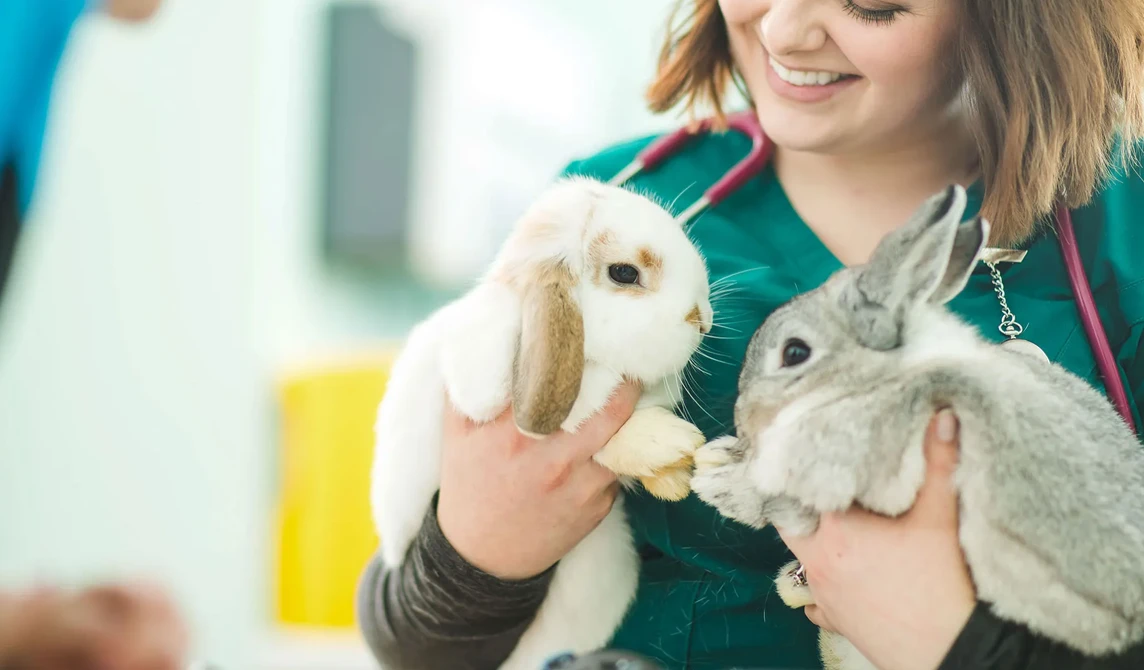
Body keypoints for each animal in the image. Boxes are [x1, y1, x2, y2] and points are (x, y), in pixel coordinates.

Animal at [369, 176, 715, 670]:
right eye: (625, 273)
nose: (703, 319)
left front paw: (671, 478)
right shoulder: (487, 385)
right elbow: (593, 415)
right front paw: (667, 444)